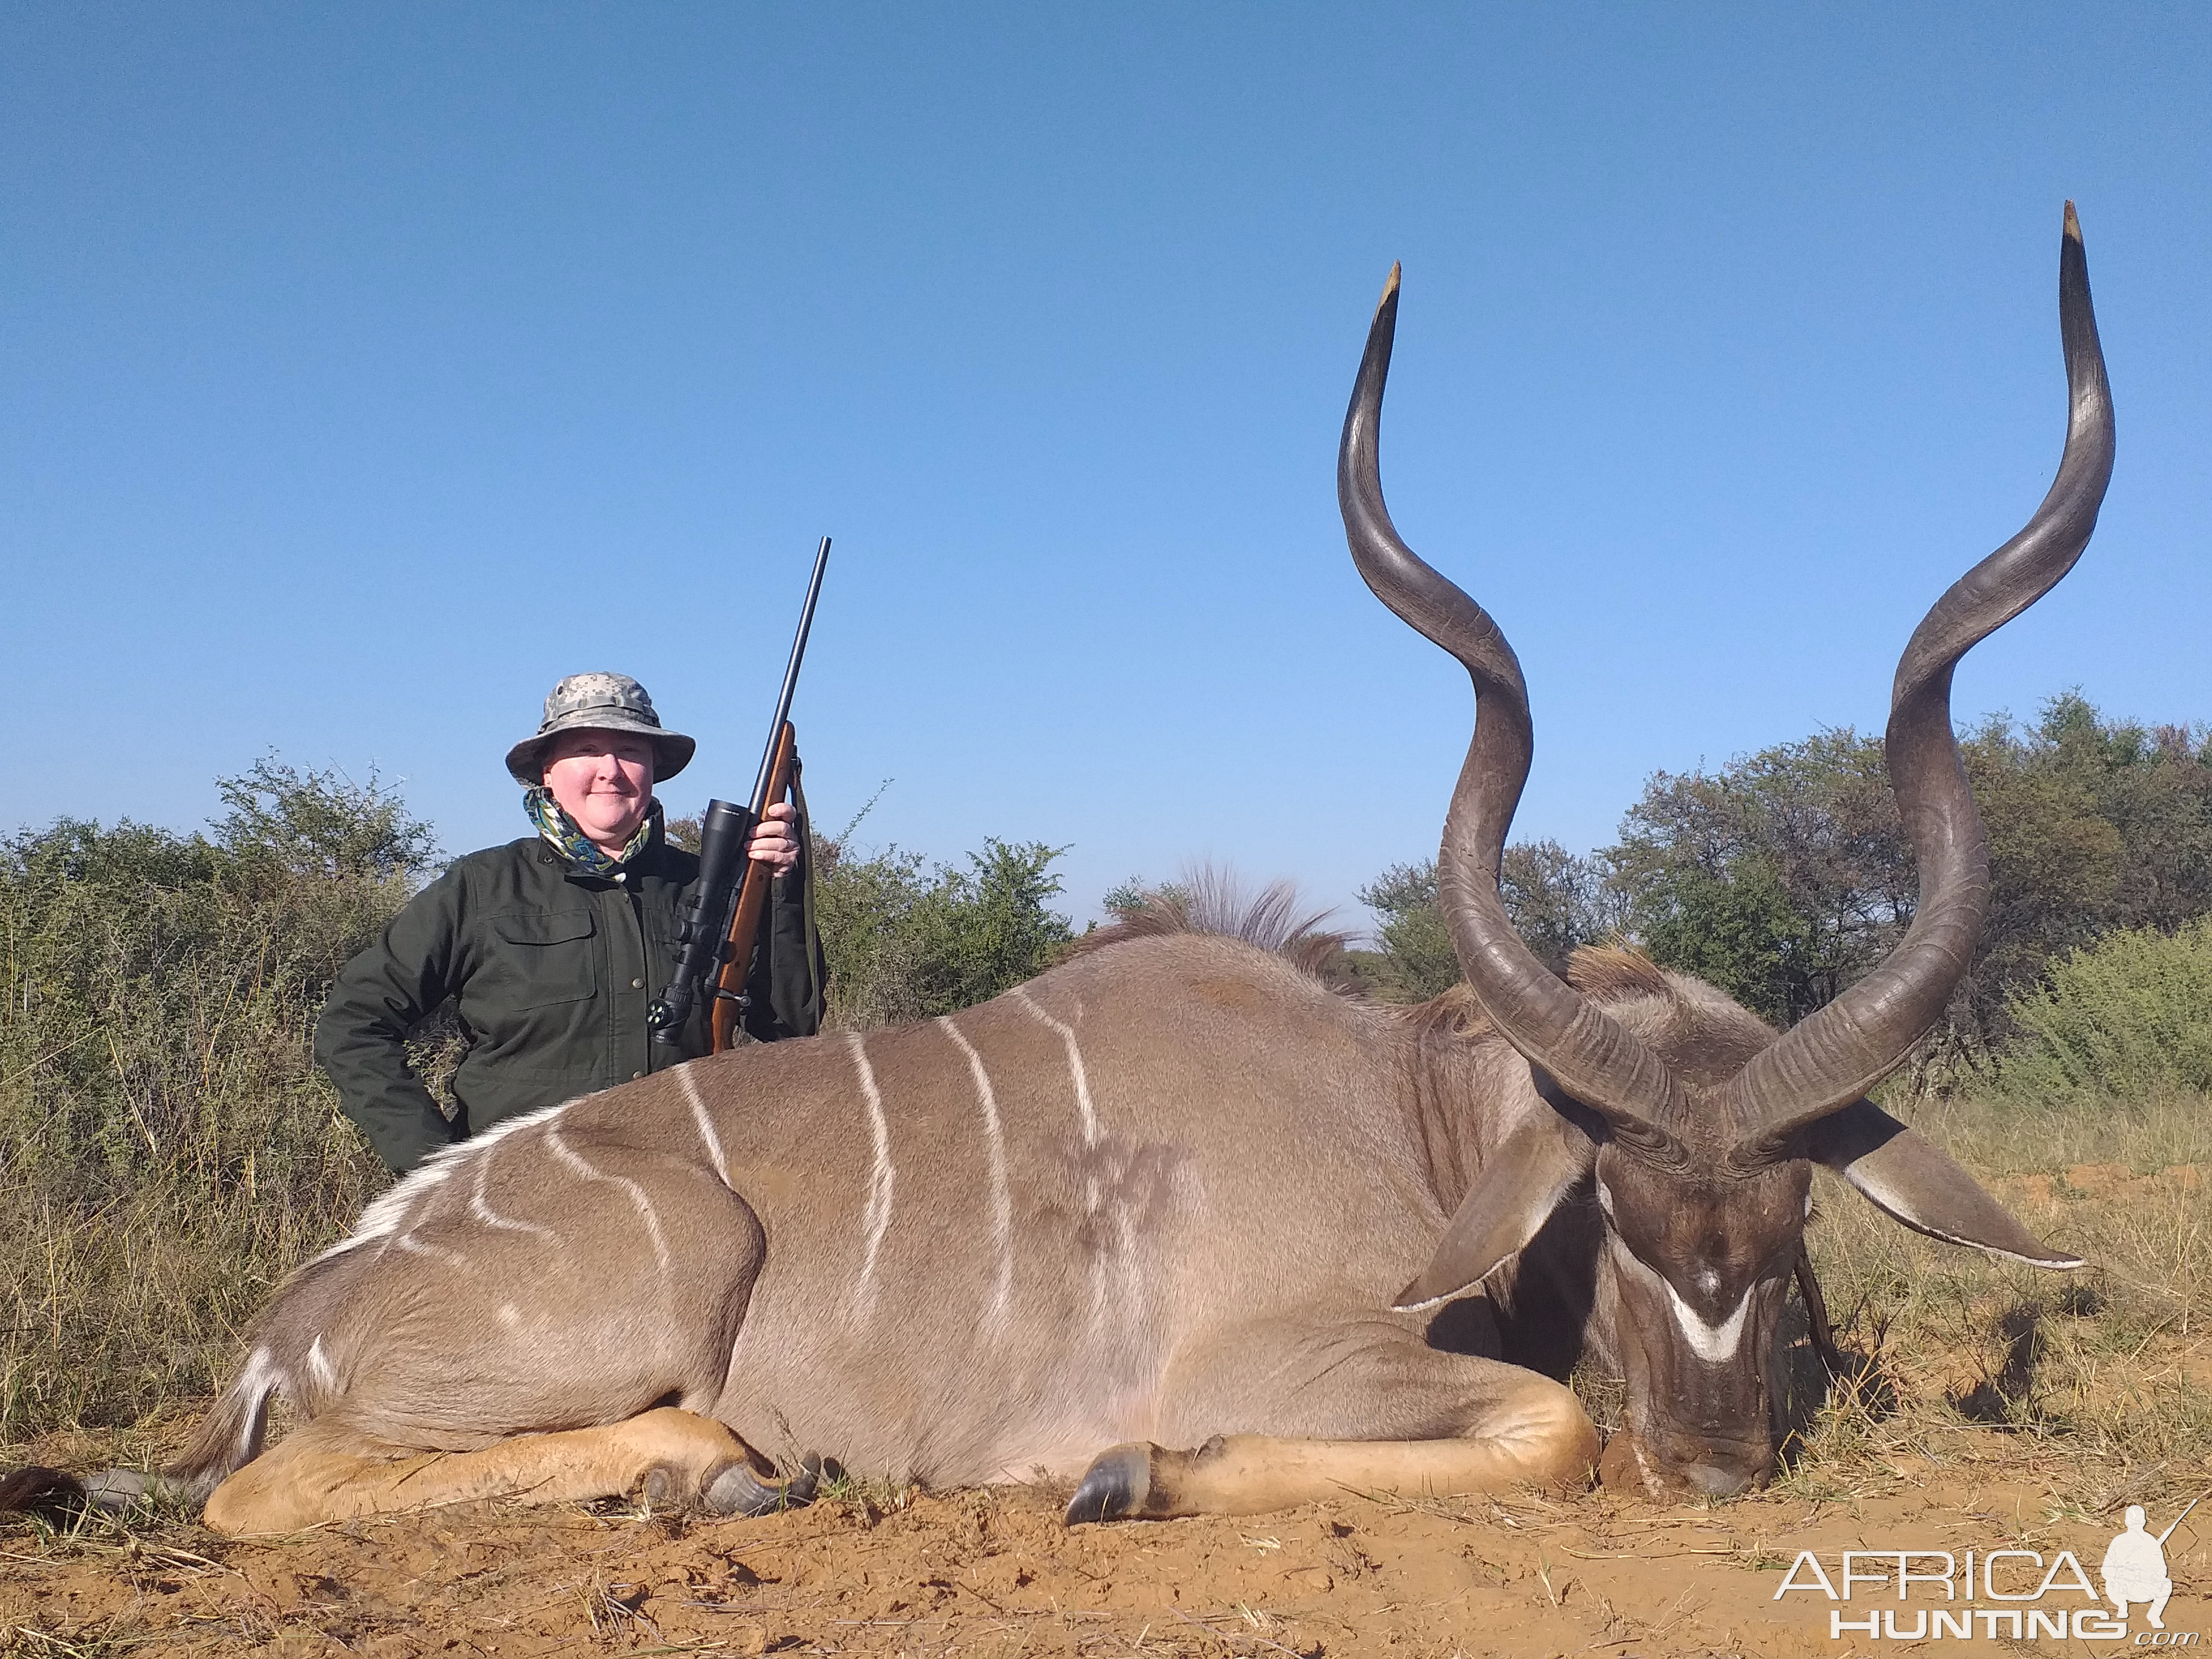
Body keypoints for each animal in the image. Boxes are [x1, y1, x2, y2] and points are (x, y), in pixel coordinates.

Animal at [4, 211, 2105, 1548]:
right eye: (1604, 1197)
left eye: (1794, 1210)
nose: (1720, 1473)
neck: (1407, 1110)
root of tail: (294, 1321)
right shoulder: (1287, 1351)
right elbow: (1546, 1419)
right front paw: (1111, 1473)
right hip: (665, 1275)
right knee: (262, 1491)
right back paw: (715, 1465)